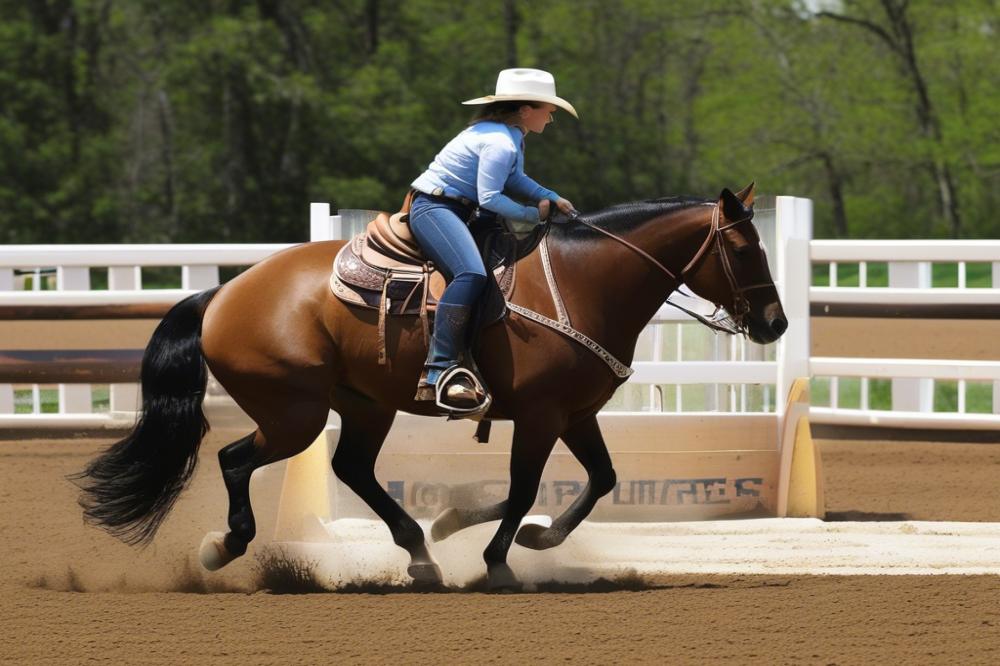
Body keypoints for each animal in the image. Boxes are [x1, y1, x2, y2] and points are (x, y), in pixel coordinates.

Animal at [76, 182, 780, 588]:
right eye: (745, 249)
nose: (776, 323)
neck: (581, 283)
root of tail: (222, 293)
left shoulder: (575, 415)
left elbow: (598, 481)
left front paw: (480, 530)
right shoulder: (542, 417)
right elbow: (523, 489)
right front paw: (498, 562)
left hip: (363, 406)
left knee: (352, 468)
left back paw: (421, 554)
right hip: (294, 413)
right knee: (233, 458)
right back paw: (224, 546)